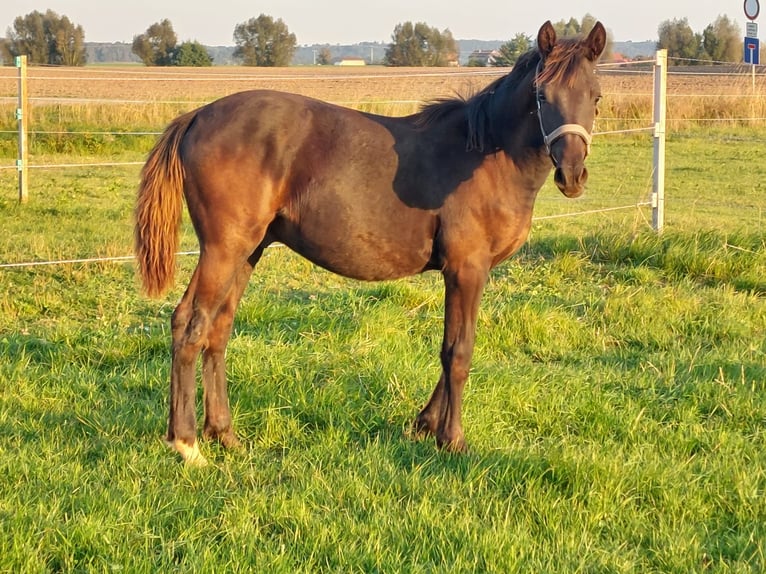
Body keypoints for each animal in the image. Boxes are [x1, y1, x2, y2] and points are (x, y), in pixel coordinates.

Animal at [135, 21, 608, 468]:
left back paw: (224, 435)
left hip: (247, 252)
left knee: (216, 330)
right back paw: (187, 444)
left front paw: (423, 425)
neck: (485, 156)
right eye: (542, 95)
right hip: (223, 250)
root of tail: (198, 115)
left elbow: (449, 350)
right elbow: (458, 352)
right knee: (191, 326)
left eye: (596, 96)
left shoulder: (466, 273)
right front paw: (452, 439)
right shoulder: (467, 269)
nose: (572, 174)